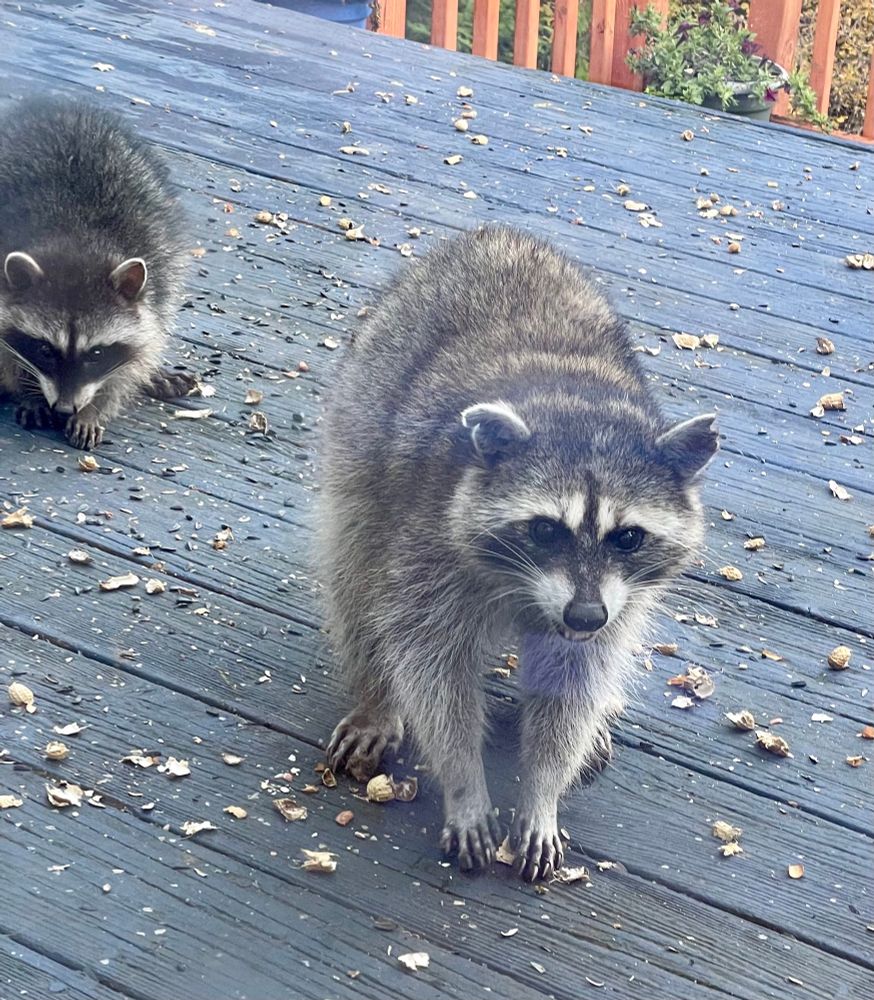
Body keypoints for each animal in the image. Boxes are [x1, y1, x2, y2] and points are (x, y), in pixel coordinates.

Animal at [0, 97, 194, 449]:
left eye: (97, 353)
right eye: (45, 350)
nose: (64, 408)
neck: (77, 240)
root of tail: (55, 106)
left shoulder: (155, 280)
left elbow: (136, 354)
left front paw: (94, 408)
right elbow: (6, 353)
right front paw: (29, 392)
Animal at [322, 226, 718, 881]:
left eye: (627, 537)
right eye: (546, 530)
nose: (584, 615)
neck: (577, 408)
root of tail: (495, 235)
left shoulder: (616, 601)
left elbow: (575, 682)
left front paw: (542, 789)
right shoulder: (430, 548)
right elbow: (432, 669)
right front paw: (464, 781)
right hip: (361, 427)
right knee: (354, 569)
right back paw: (376, 695)